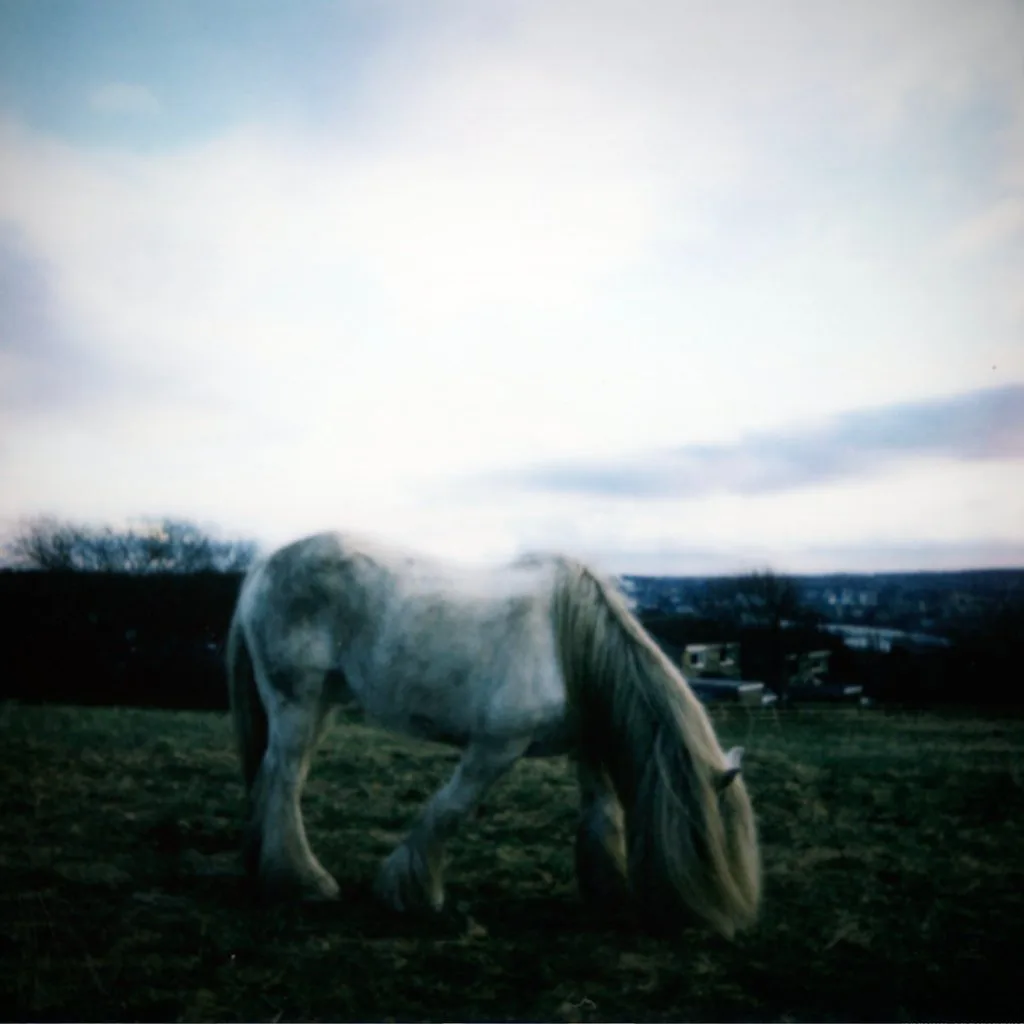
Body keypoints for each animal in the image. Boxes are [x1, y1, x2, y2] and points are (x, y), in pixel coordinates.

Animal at [226, 530, 761, 937]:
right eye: (712, 842)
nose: (722, 925)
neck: (569, 639)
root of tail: (265, 564)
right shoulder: (497, 747)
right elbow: (449, 812)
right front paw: (411, 893)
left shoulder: (586, 747)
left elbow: (601, 815)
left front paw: (607, 892)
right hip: (297, 702)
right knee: (284, 782)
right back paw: (304, 882)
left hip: (319, 705)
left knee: (275, 777)